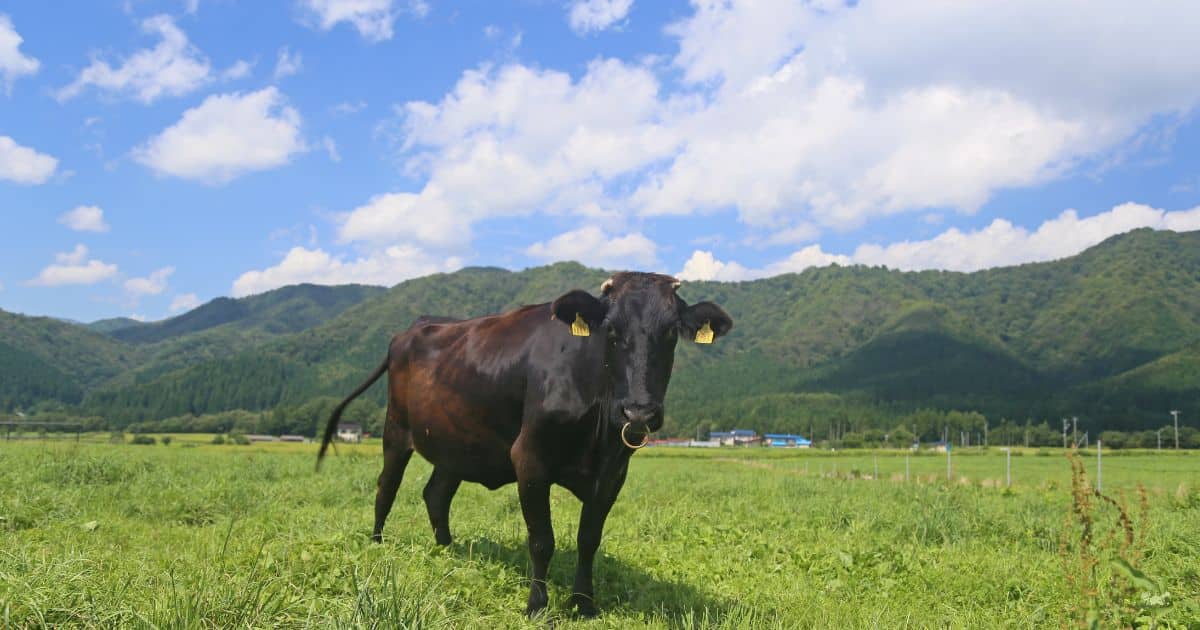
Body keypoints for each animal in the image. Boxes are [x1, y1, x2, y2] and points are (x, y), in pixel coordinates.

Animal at [319, 270, 729, 614]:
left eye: (671, 332)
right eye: (611, 331)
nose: (639, 412)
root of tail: (414, 327)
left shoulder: (612, 472)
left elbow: (588, 539)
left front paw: (584, 603)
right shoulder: (529, 459)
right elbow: (542, 540)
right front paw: (537, 605)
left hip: (458, 443)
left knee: (436, 493)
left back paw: (448, 549)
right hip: (395, 429)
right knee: (387, 486)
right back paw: (377, 543)